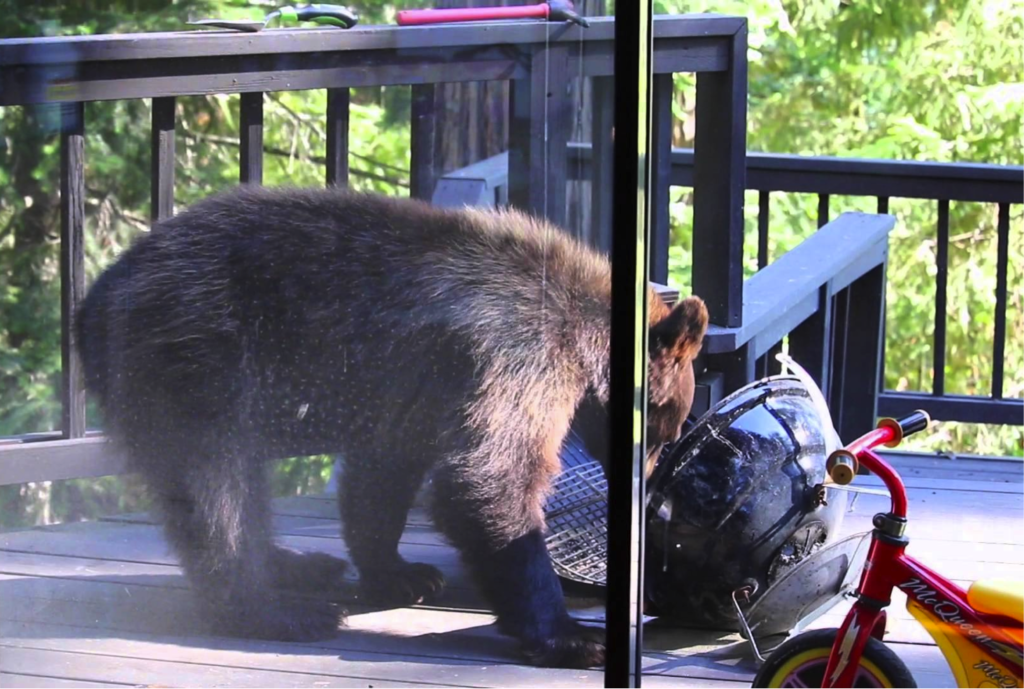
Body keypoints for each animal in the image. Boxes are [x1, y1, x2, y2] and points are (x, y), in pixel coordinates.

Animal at [74, 185, 708, 669]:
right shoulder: (518, 355)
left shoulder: (415, 391)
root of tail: (94, 299)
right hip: (198, 357)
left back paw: (301, 564)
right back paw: (276, 608)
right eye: (669, 429)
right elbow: (489, 477)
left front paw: (402, 573)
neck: (586, 337)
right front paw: (572, 635)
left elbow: (383, 475)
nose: (646, 485)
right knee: (215, 486)